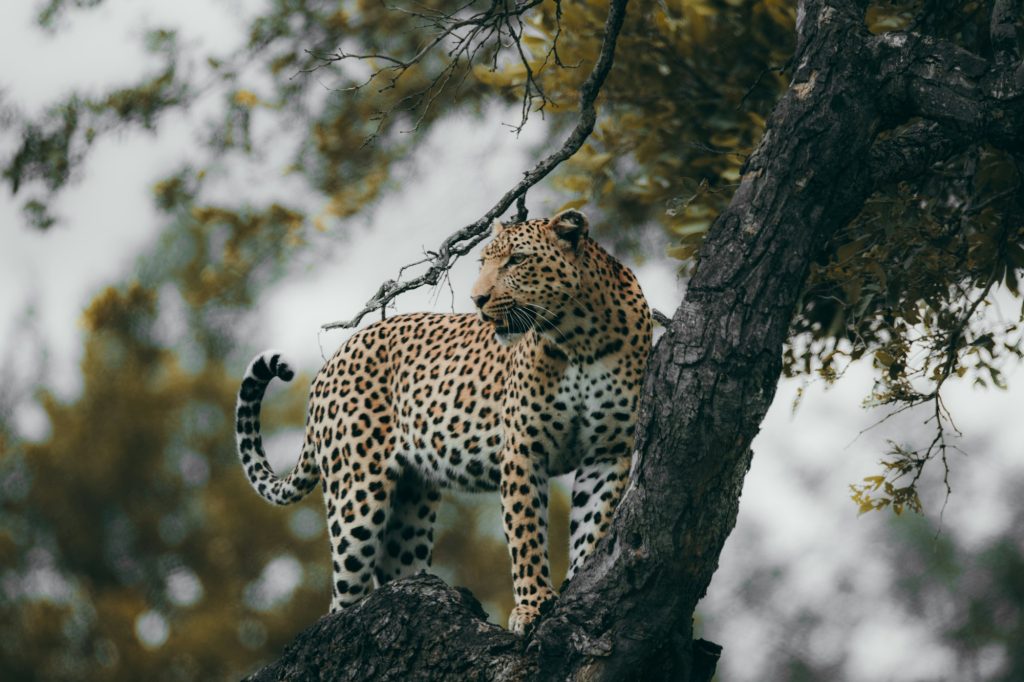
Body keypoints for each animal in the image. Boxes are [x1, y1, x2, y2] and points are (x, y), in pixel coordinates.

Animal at [233, 208, 651, 630]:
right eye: (483, 263)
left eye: (517, 260)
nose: (478, 299)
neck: (579, 338)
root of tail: (330, 362)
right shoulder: (523, 450)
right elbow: (526, 533)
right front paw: (532, 605)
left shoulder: (608, 453)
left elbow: (592, 526)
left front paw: (577, 581)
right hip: (356, 498)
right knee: (341, 599)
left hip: (410, 506)